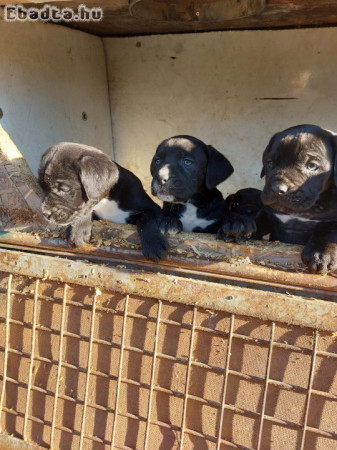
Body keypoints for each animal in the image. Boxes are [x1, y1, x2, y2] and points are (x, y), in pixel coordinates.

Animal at [38, 141, 167, 260]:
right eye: (42, 188)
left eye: (64, 189)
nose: (45, 214)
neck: (105, 202)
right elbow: (85, 211)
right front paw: (79, 229)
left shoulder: (153, 208)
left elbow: (146, 218)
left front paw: (154, 243)